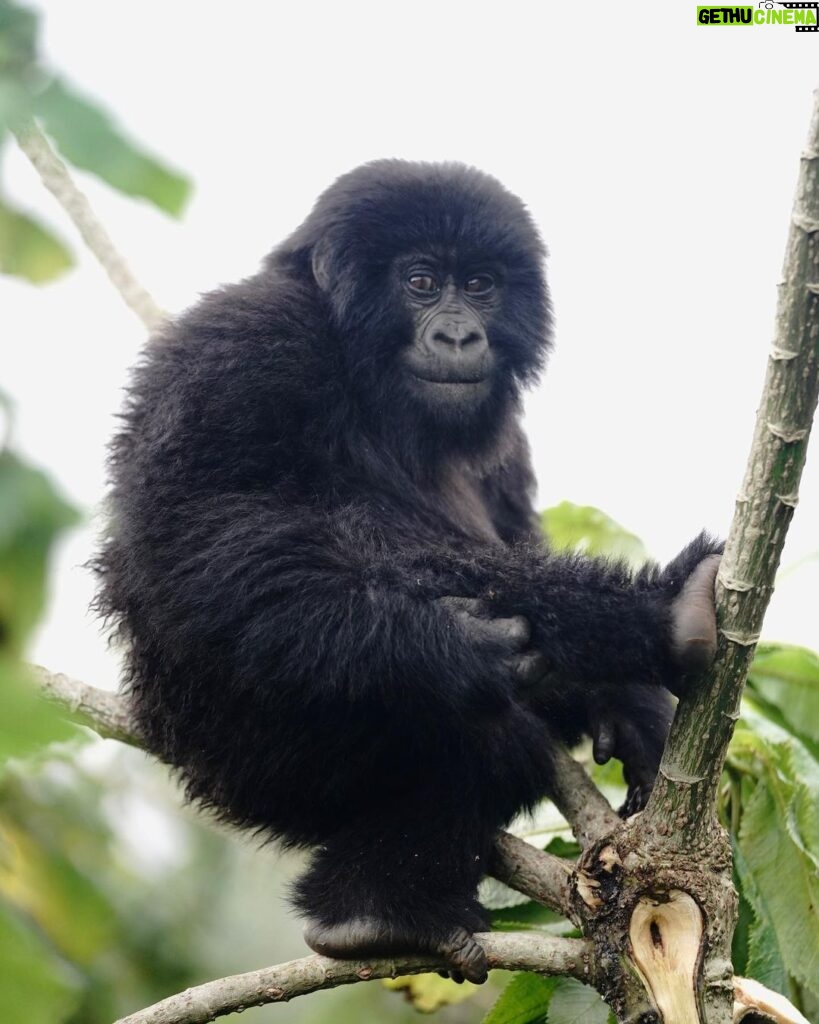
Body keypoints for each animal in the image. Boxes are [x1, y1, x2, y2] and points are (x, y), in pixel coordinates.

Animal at [96, 161, 720, 983]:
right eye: (421, 282)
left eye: (480, 284)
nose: (457, 332)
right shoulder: (241, 341)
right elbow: (196, 531)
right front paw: (448, 643)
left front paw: (624, 701)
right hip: (245, 750)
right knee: (465, 715)